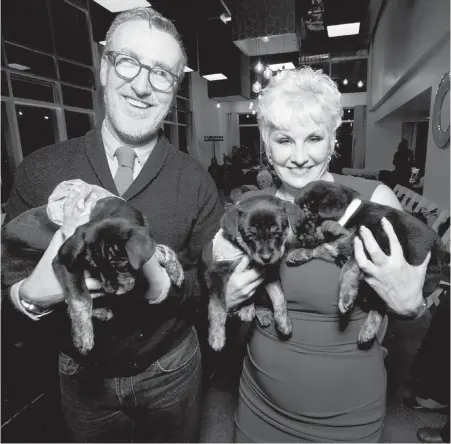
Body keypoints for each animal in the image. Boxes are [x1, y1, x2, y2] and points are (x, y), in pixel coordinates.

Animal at [53, 196, 185, 356]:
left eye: (121, 266)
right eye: (94, 268)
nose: (110, 291)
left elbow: (162, 249)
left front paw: (176, 270)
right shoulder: (63, 262)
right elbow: (80, 299)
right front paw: (83, 335)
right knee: (70, 306)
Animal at [205, 194, 304, 350]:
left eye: (277, 234)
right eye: (250, 236)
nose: (266, 258)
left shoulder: (270, 273)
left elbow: (279, 296)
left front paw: (284, 322)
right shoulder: (216, 272)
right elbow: (217, 306)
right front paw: (217, 337)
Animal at [286, 181, 444, 346]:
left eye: (307, 211)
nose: (298, 235)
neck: (347, 219)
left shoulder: (373, 244)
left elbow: (349, 267)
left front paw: (346, 296)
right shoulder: (337, 249)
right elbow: (322, 248)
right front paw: (299, 253)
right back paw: (368, 331)